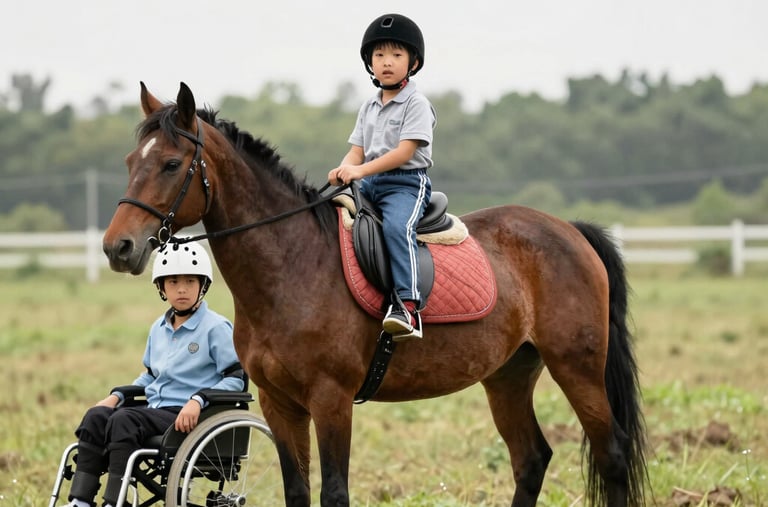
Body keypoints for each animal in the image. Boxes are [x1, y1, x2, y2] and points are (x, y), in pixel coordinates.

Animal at [103, 82, 647, 507]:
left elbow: (334, 492)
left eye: (171, 163)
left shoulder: (331, 399)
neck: (292, 264)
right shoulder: (279, 404)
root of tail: (569, 230)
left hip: (577, 367)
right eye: (130, 161)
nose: (117, 247)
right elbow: (297, 491)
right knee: (531, 459)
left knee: (612, 455)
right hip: (508, 375)